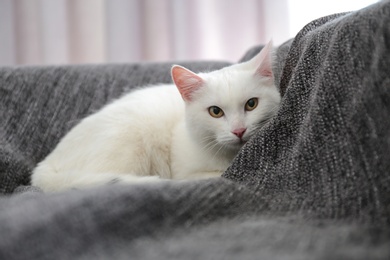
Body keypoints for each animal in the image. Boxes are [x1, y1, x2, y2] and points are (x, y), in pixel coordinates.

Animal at [31, 41, 280, 192]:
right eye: (215, 111)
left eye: (252, 104)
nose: (239, 130)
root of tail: (48, 163)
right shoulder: (185, 172)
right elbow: (213, 175)